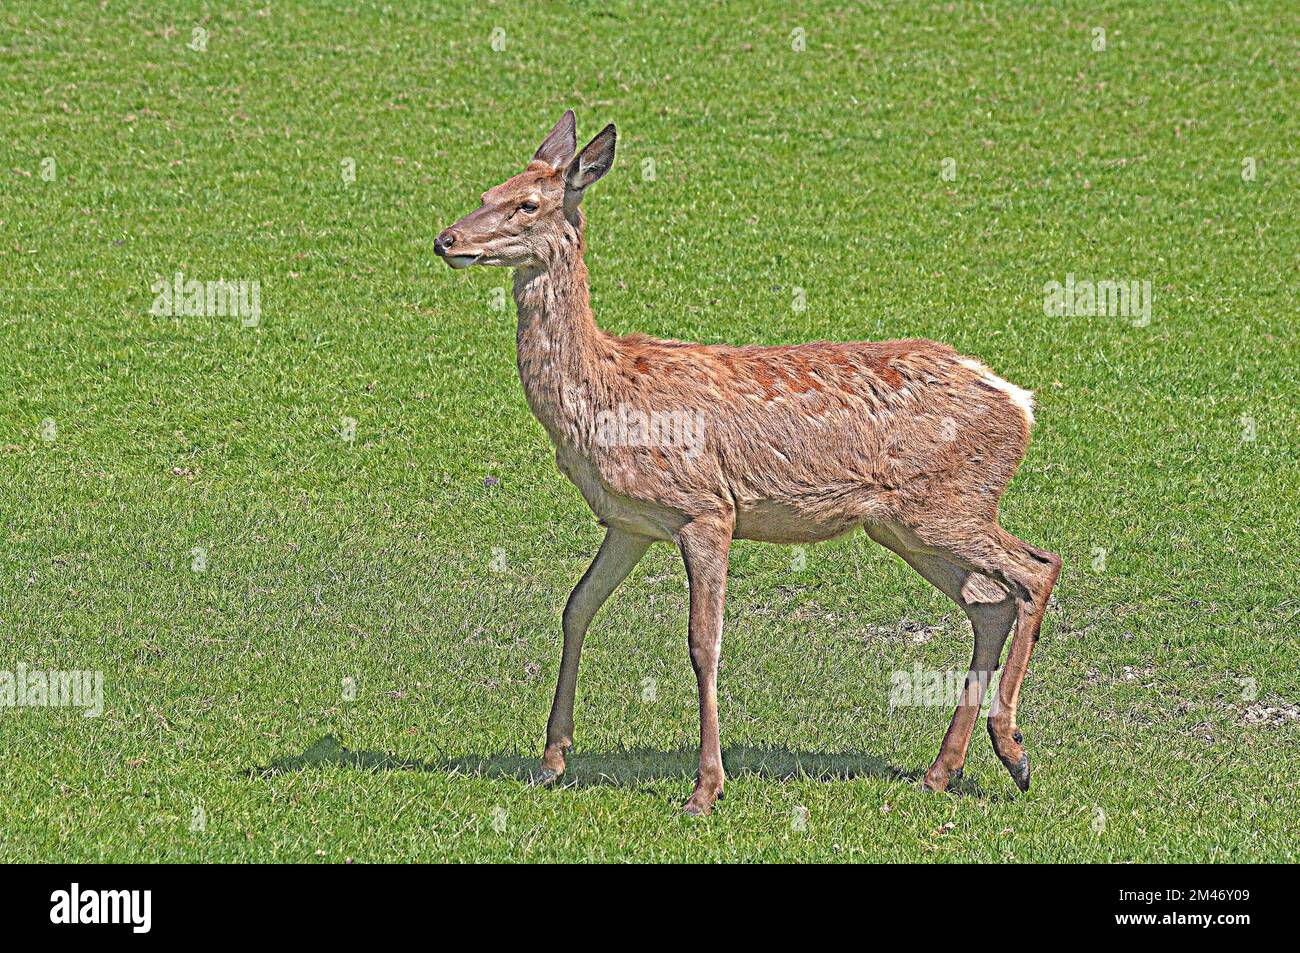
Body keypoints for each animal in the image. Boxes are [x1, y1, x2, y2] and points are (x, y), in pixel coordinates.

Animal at [435, 110, 1061, 815]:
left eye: (527, 204)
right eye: (487, 190)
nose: (446, 239)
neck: (605, 396)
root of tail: (1019, 402)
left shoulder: (706, 508)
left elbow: (702, 642)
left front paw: (705, 788)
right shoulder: (628, 522)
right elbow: (576, 607)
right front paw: (551, 760)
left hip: (948, 504)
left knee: (1036, 568)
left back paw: (1013, 749)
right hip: (904, 522)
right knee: (989, 603)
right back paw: (941, 771)